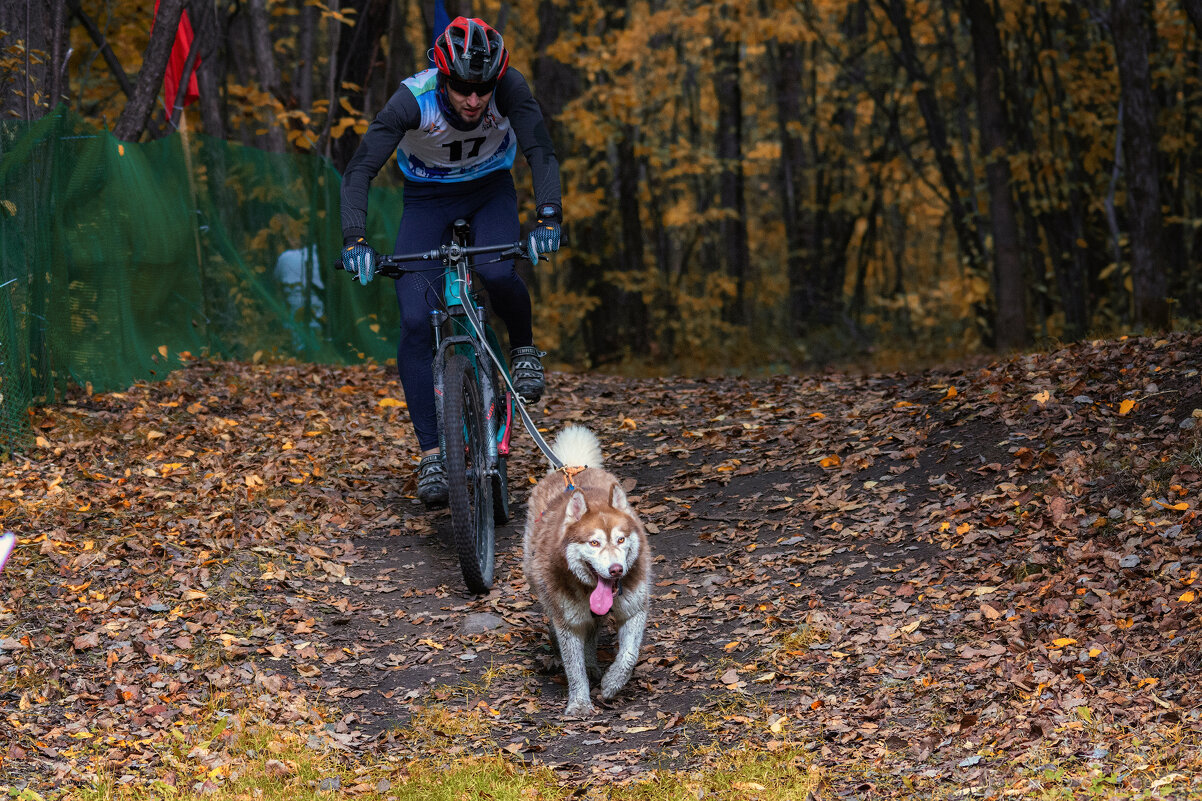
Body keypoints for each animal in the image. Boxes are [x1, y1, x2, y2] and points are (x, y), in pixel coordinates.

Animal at [524, 428, 653, 712]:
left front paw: (613, 682)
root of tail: (571, 468)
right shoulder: (569, 622)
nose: (616, 570)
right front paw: (580, 704)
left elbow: (629, 654)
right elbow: (574, 667)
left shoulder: (634, 609)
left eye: (620, 539)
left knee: (593, 632)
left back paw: (594, 664)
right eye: (594, 543)